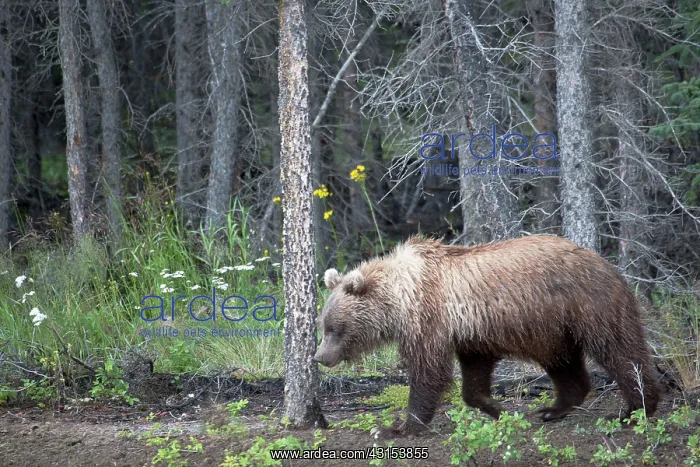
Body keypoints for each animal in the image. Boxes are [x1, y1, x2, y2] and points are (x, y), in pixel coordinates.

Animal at [313, 235, 661, 437]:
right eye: (324, 325)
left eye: (334, 328)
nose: (319, 357)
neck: (401, 299)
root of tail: (608, 264)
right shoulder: (470, 331)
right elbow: (474, 374)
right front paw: (498, 409)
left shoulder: (430, 319)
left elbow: (428, 371)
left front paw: (397, 427)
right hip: (556, 328)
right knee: (565, 363)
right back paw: (551, 410)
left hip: (589, 304)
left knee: (620, 350)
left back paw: (634, 409)